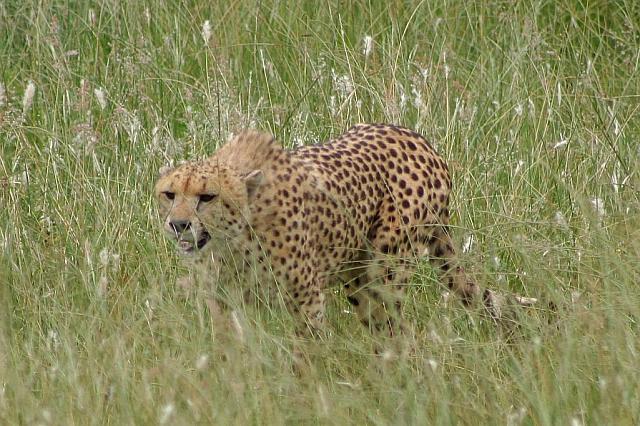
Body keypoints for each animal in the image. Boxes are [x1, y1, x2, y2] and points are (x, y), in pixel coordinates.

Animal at [155, 123, 534, 338]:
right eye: (170, 194)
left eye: (207, 197)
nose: (179, 224)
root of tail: (421, 141)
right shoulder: (224, 299)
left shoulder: (306, 297)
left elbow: (305, 352)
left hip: (383, 273)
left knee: (396, 334)